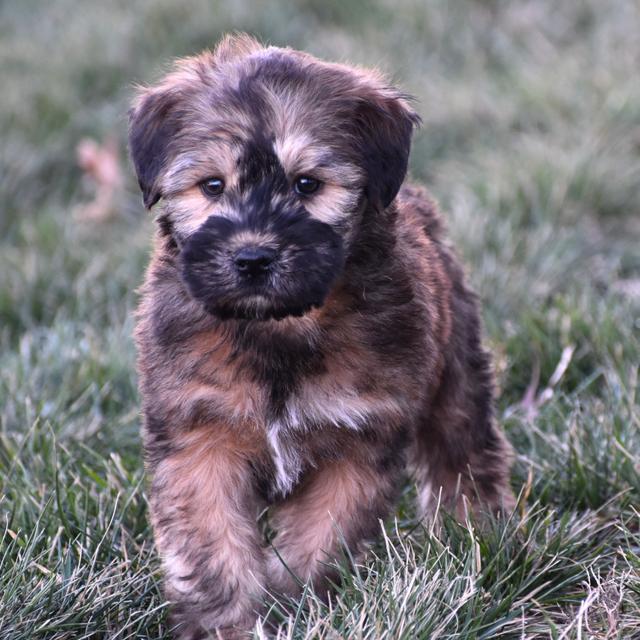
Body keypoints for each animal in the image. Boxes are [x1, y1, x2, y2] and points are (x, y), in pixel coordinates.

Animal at [129, 33, 516, 640]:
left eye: (307, 184)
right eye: (212, 186)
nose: (253, 258)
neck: (280, 330)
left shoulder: (356, 441)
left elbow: (318, 540)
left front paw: (299, 608)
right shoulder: (199, 438)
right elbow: (214, 549)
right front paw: (227, 625)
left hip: (456, 371)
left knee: (462, 451)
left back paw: (475, 536)